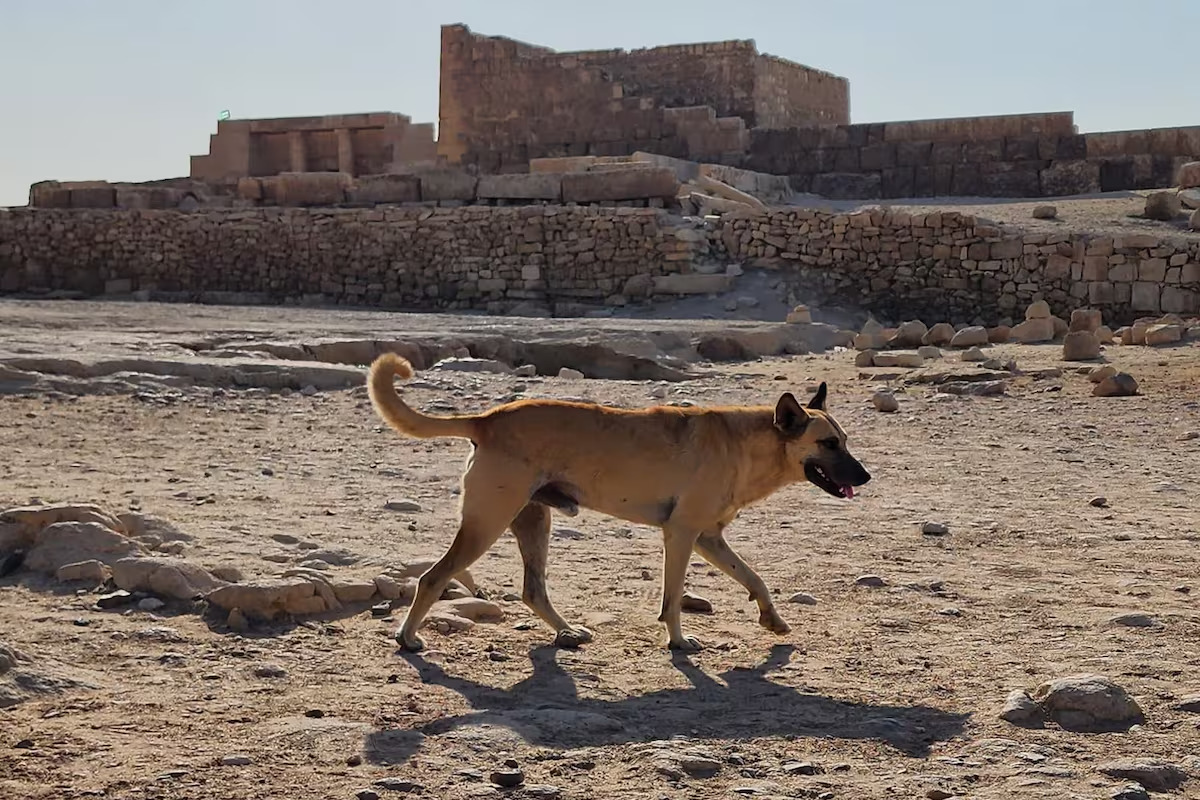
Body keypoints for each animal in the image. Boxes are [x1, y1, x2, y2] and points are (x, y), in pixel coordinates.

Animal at [364, 352, 873, 652]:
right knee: (433, 577)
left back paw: (566, 631)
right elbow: (673, 598)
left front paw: (772, 620)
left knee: (532, 590)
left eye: (846, 441)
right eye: (828, 444)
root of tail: (488, 418)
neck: (748, 443)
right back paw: (408, 638)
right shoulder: (682, 534)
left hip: (533, 523)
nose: (866, 477)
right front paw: (679, 642)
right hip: (487, 524)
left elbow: (755, 578)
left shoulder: (708, 538)